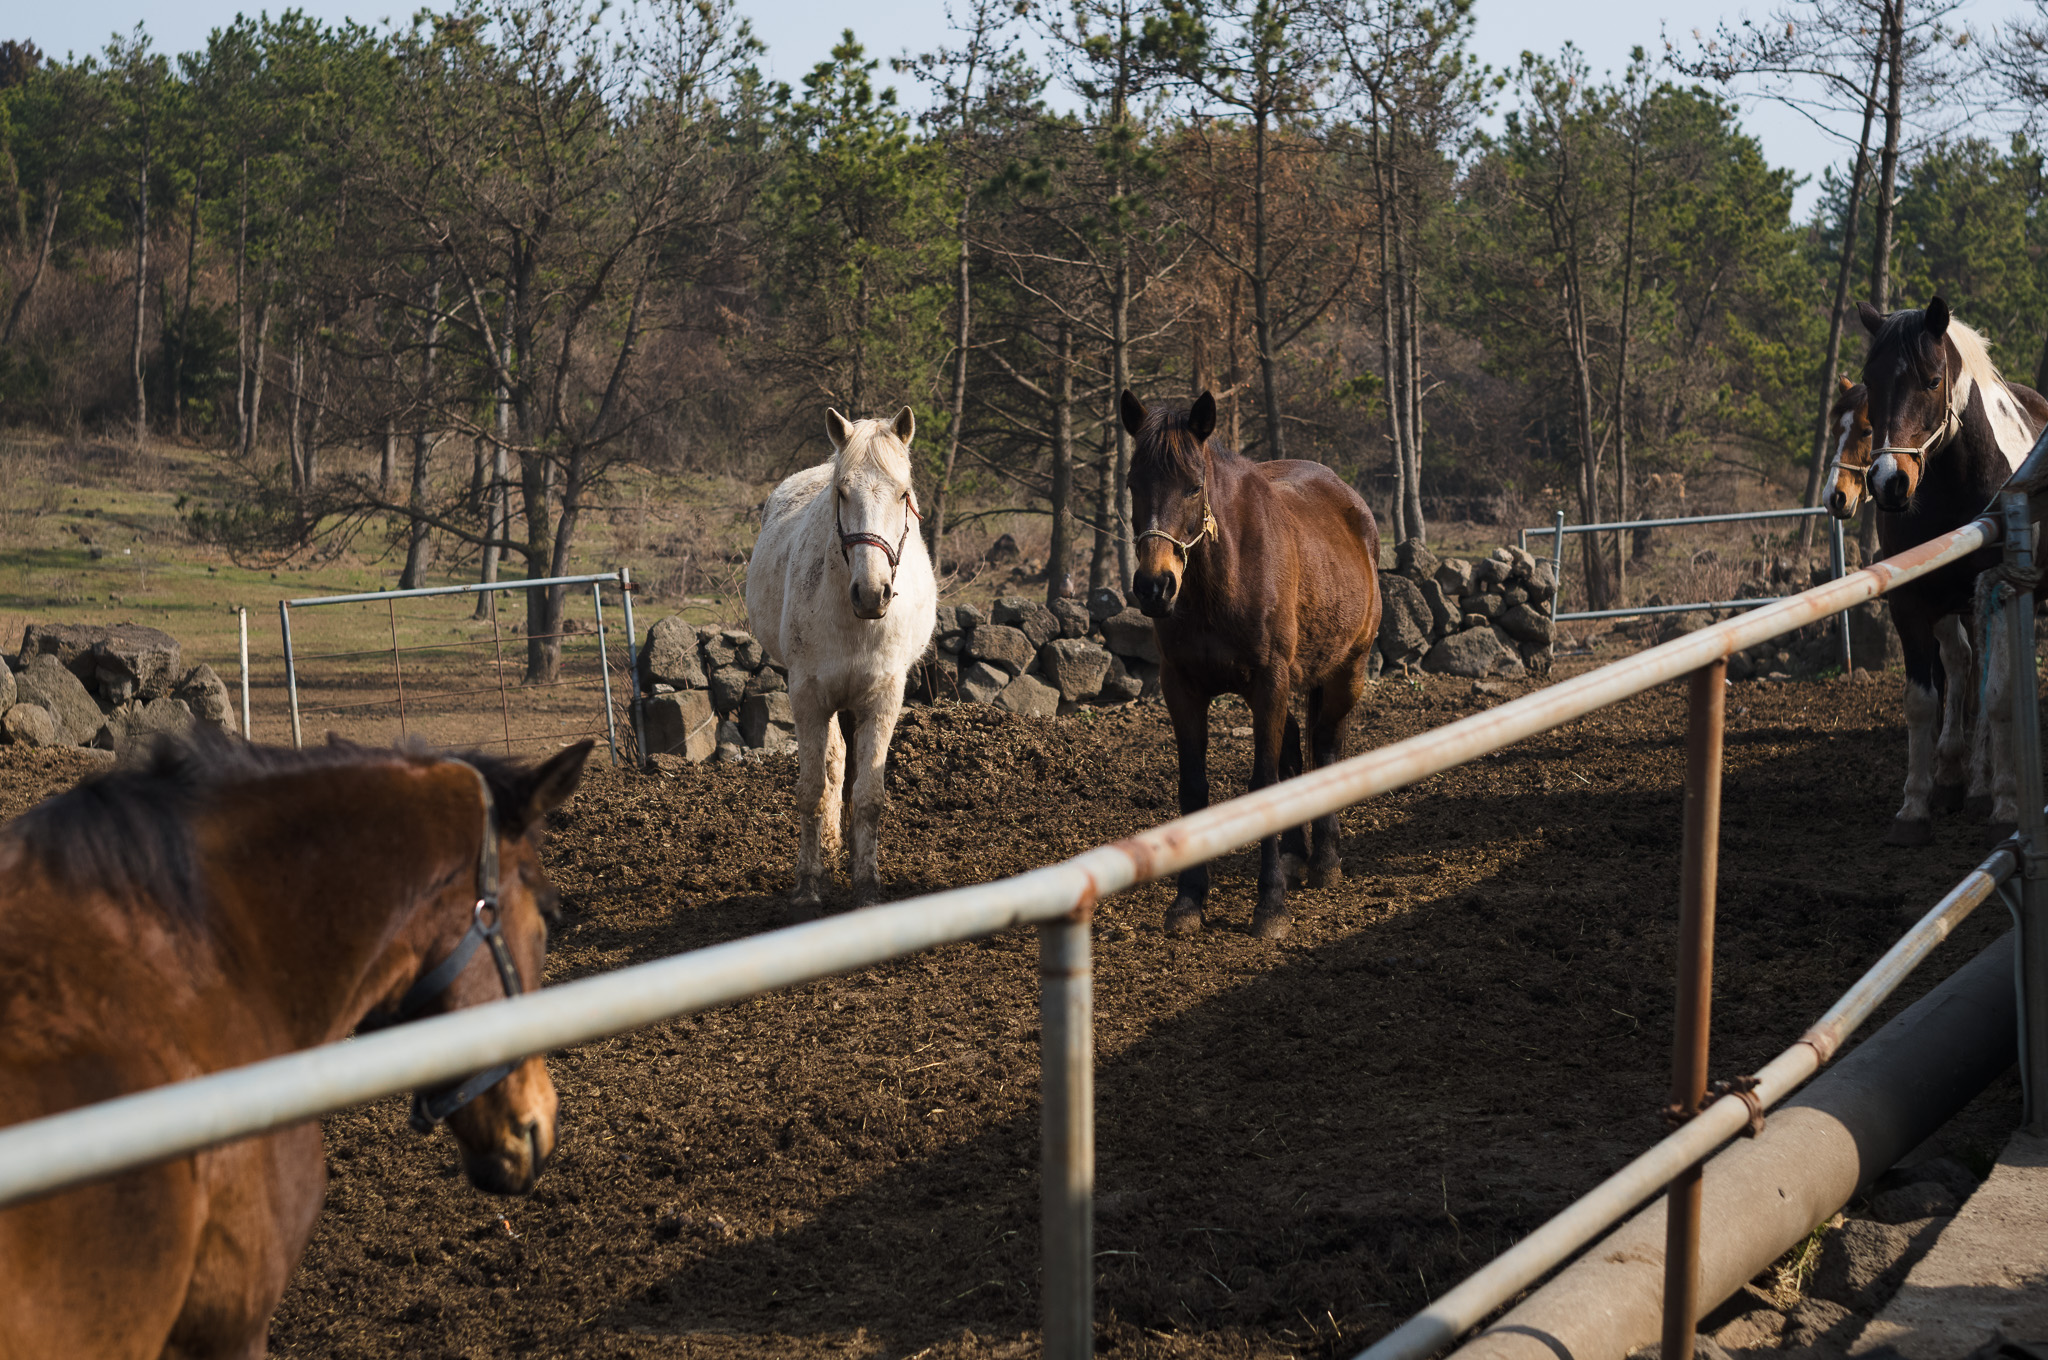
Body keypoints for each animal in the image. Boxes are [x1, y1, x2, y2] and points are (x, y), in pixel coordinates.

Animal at [747, 406, 937, 910]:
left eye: (904, 494)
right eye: (842, 492)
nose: (872, 593)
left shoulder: (882, 700)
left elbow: (868, 794)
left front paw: (867, 883)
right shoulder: (809, 696)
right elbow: (813, 789)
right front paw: (809, 884)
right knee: (834, 764)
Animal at [1122, 389, 1382, 940]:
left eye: (1193, 486)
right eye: (1133, 484)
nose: (1154, 586)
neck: (1223, 577)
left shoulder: (1268, 684)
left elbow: (1263, 783)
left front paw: (1270, 906)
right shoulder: (1182, 689)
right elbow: (1195, 788)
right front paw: (1188, 900)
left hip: (1346, 673)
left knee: (1327, 748)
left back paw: (1324, 861)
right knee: (1296, 753)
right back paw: (1294, 856)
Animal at [1849, 297, 2045, 844]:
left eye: (1933, 380)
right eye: (1869, 379)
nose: (1889, 482)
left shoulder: (2000, 595)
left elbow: (1998, 697)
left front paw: (2005, 803)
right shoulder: (1911, 602)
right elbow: (1923, 701)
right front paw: (1915, 806)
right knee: (1962, 667)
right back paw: (1958, 778)